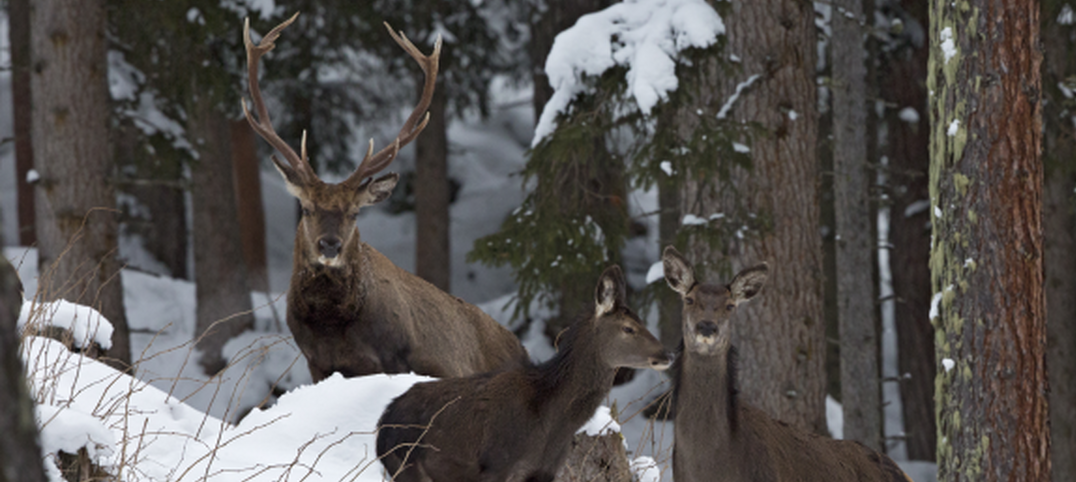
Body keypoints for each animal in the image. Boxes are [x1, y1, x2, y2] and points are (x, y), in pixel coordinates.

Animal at [245, 15, 529, 383]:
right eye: (306, 209)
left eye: (354, 213)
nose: (330, 245)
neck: (330, 327)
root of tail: (524, 350)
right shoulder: (316, 364)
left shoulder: (395, 360)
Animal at [374, 266, 667, 481]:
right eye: (628, 328)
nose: (666, 354)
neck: (551, 420)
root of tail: (382, 425)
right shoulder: (496, 466)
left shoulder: (545, 472)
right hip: (407, 465)